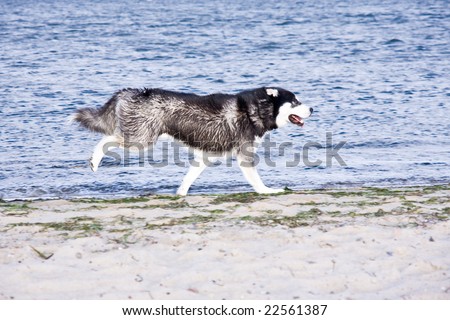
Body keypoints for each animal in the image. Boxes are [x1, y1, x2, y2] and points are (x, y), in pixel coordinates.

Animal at [74, 86, 312, 194]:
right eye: (295, 101)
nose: (312, 109)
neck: (255, 110)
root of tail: (131, 91)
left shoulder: (205, 156)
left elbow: (188, 178)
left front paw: (180, 195)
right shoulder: (245, 154)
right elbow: (256, 180)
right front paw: (267, 191)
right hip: (141, 140)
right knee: (107, 139)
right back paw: (95, 159)